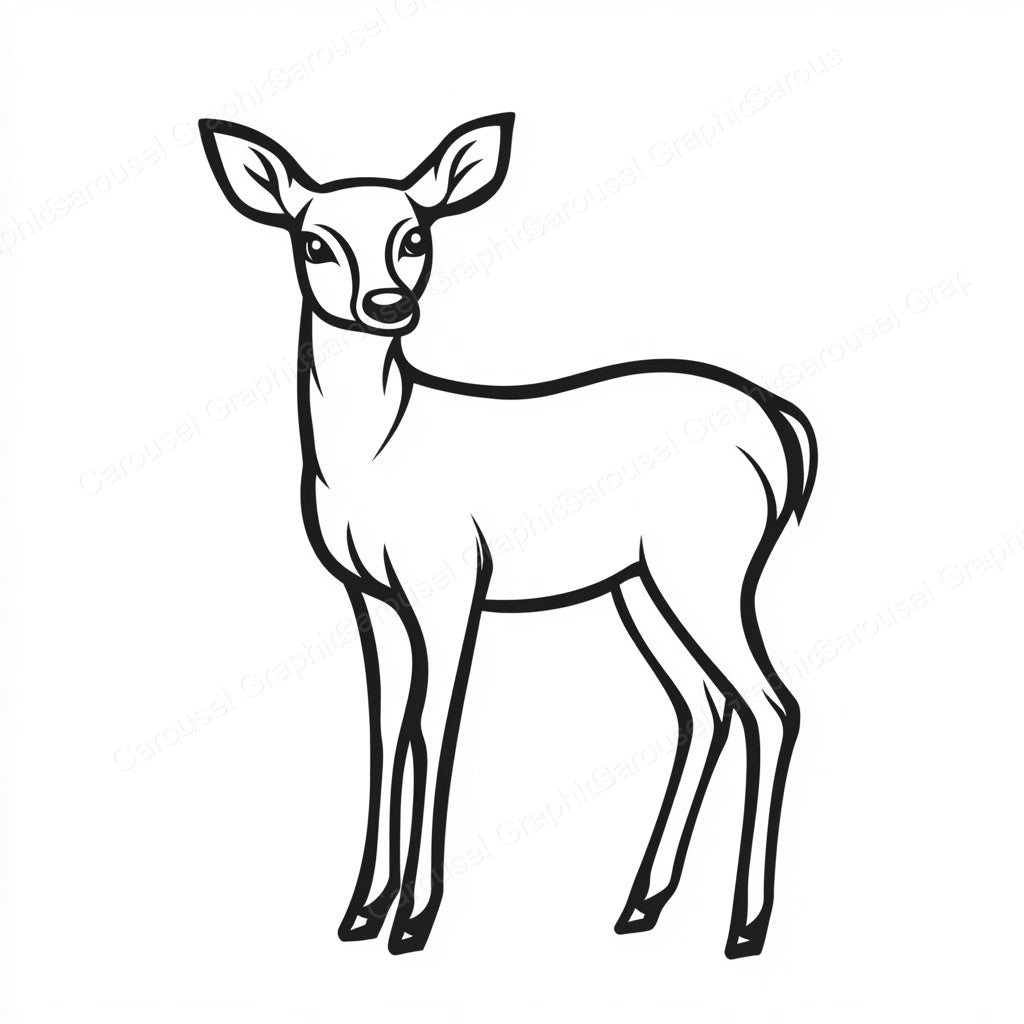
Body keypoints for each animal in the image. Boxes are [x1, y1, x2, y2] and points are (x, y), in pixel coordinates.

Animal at [199, 112, 818, 958]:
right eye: (314, 243)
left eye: (415, 235)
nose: (387, 303)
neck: (375, 453)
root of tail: (778, 423)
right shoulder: (369, 595)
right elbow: (383, 730)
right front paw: (360, 912)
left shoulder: (453, 581)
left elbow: (432, 729)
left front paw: (413, 921)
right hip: (640, 584)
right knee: (705, 707)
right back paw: (640, 905)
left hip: (709, 566)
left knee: (771, 703)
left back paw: (744, 929)